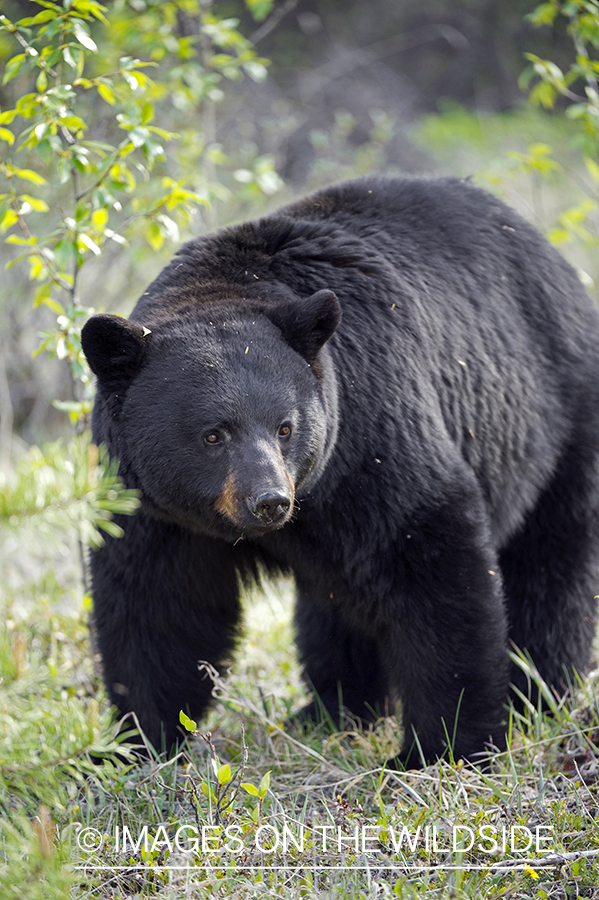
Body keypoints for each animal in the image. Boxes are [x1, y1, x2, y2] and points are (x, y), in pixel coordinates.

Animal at [81, 175, 599, 767]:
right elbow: (158, 609)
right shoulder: (152, 506)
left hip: (557, 417)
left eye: (285, 426)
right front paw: (138, 745)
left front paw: (444, 748)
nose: (270, 501)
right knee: (335, 607)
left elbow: (432, 560)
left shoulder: (366, 434)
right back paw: (331, 710)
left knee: (551, 561)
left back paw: (538, 693)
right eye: (213, 434)